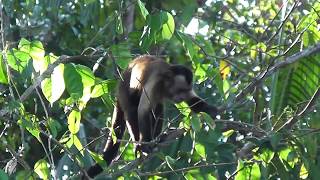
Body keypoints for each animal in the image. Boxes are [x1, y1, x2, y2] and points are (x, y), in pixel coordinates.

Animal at [86, 54, 219, 177]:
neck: (165, 83)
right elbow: (143, 111)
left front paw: (209, 110)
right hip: (124, 90)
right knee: (132, 109)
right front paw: (144, 146)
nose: (182, 97)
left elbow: (192, 100)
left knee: (158, 108)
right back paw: (139, 144)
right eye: (180, 90)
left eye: (186, 91)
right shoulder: (155, 81)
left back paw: (158, 138)